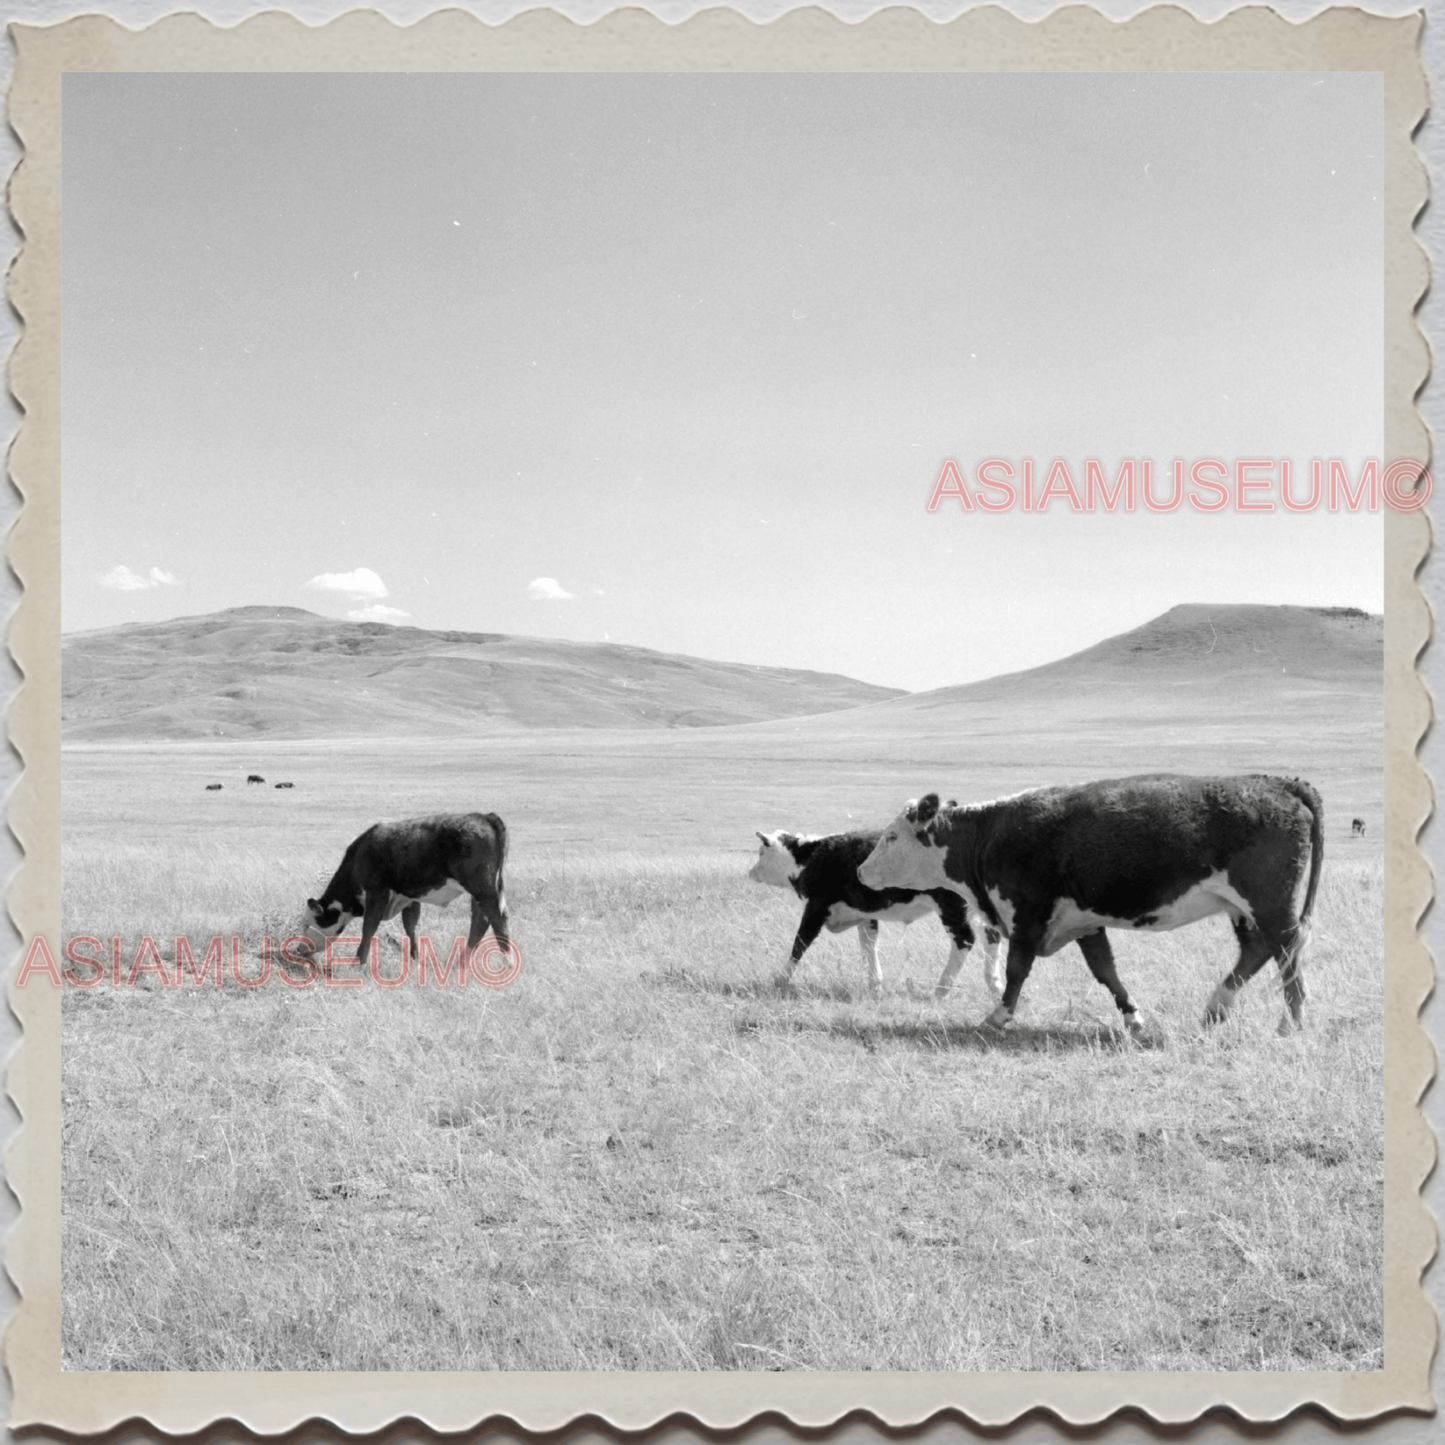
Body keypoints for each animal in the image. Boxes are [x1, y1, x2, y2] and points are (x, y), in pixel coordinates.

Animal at [296, 814, 511, 971]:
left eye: (306, 925)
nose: (299, 949)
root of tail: (484, 817)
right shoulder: (409, 898)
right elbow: (411, 926)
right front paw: (415, 959)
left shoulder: (377, 892)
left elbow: (368, 927)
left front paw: (359, 962)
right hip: (482, 892)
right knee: (480, 922)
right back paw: (461, 964)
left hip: (483, 889)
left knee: (497, 918)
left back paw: (508, 962)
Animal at [745, 832, 1005, 999]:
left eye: (760, 852)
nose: (750, 873)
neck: (813, 856)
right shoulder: (865, 913)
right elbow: (869, 945)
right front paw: (875, 985)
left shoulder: (816, 908)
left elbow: (800, 943)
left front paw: (781, 979)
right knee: (991, 936)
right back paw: (995, 985)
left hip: (952, 907)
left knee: (965, 940)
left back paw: (941, 989)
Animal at [855, 780, 1323, 1040]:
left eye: (892, 836)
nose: (860, 871)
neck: (990, 835)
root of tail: (1282, 785)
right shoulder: (1083, 922)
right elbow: (1106, 971)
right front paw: (1134, 1020)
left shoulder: (1027, 914)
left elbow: (1017, 969)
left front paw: (998, 1016)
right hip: (1244, 909)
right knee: (1257, 951)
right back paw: (1215, 1009)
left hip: (1270, 904)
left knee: (1286, 951)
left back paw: (1291, 1023)